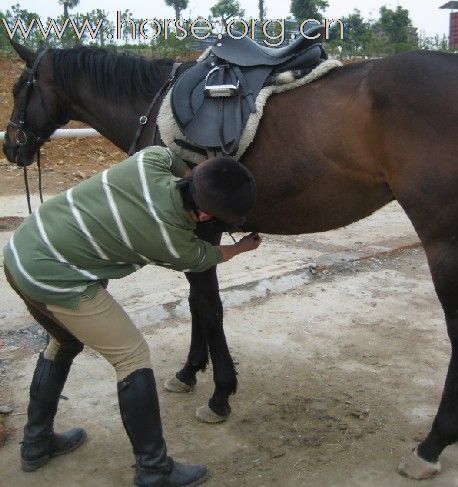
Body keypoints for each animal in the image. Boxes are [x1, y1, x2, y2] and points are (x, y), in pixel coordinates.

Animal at [3, 41, 458, 480]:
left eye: (18, 88)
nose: (11, 146)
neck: (153, 105)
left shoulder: (199, 228)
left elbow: (209, 307)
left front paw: (220, 395)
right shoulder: (196, 235)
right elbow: (195, 305)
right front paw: (188, 372)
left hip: (443, 242)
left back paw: (430, 446)